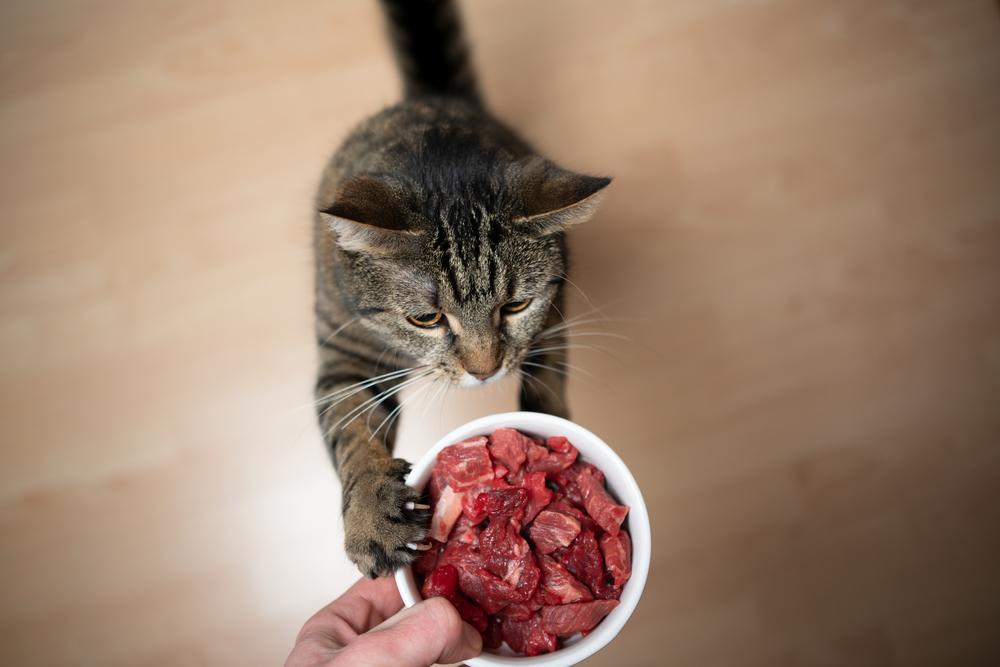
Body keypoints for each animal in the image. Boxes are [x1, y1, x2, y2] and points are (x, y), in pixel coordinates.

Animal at [312, 0, 608, 576]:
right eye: (425, 319)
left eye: (516, 305)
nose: (485, 371)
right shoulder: (343, 355)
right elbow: (351, 430)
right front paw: (373, 515)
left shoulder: (553, 317)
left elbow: (546, 384)